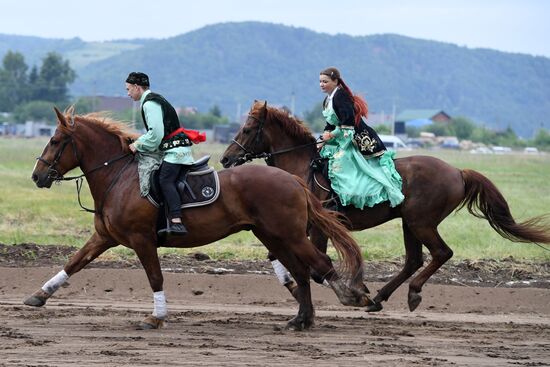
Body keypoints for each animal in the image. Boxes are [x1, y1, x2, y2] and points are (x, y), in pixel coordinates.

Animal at [24, 108, 370, 332]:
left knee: (320, 263)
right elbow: (74, 262)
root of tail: (293, 179)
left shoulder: (141, 240)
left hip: (290, 235)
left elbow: (155, 278)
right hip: (273, 235)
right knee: (299, 271)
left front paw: (156, 317)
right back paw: (301, 319)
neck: (120, 177)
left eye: (55, 141)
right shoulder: (104, 238)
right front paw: (39, 295)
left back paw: (352, 297)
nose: (37, 175)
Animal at [222, 100, 550, 314]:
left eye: (248, 128)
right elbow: (278, 256)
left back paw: (411, 293)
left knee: (441, 253)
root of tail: (457, 171)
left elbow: (316, 265)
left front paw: (353, 290)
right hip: (409, 223)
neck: (303, 167)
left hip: (421, 222)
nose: (226, 159)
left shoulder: (316, 227)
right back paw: (381, 296)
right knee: (414, 260)